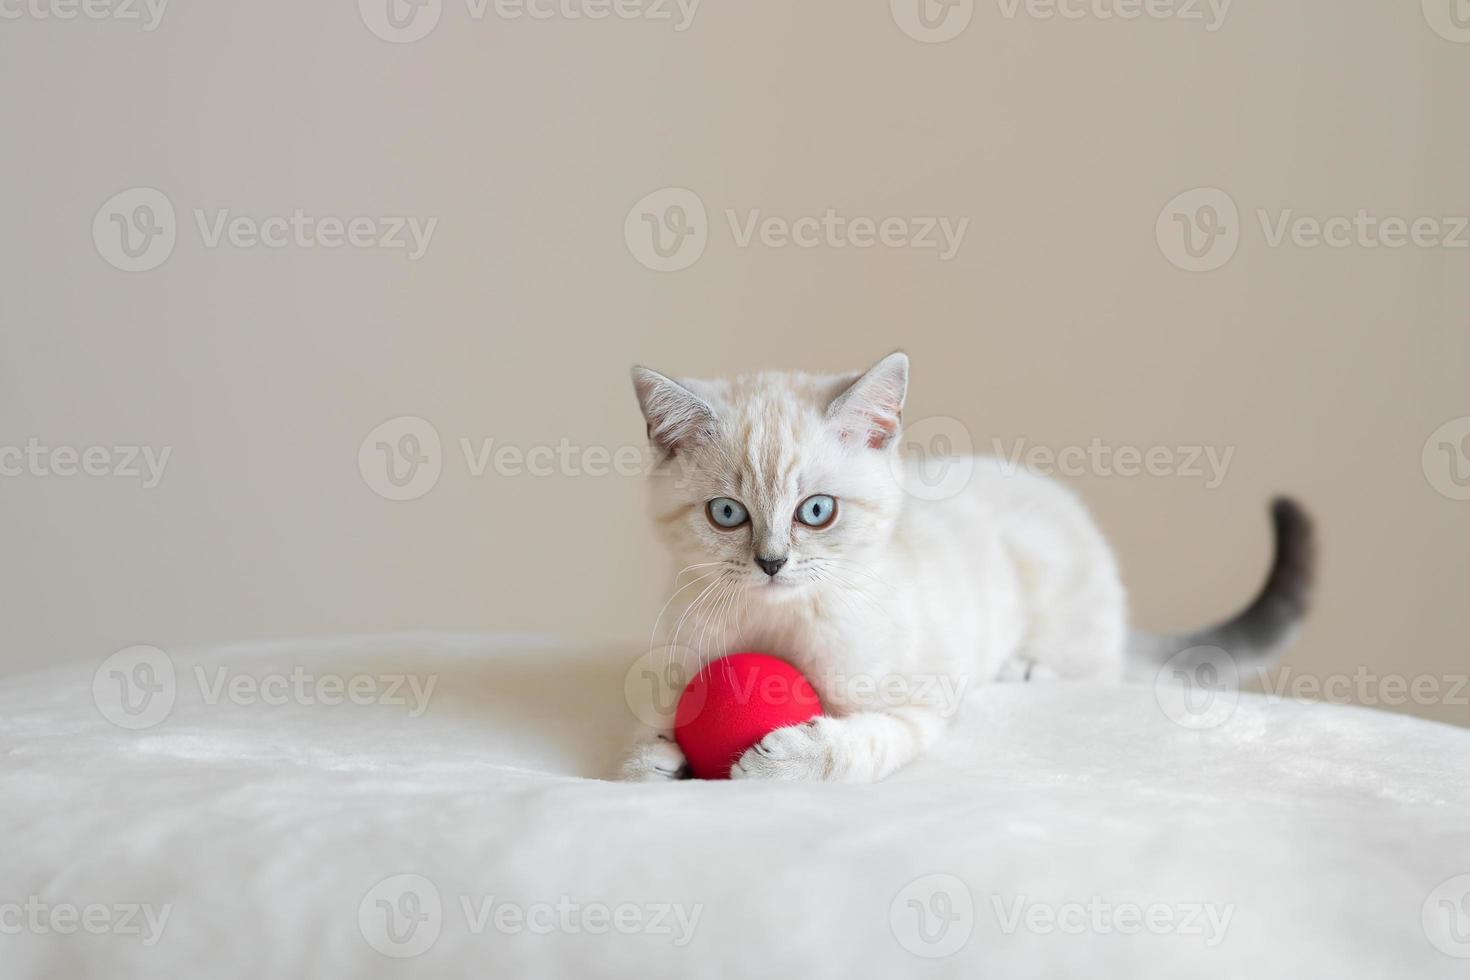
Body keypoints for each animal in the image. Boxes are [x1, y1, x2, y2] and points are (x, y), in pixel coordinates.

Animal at [614, 352, 1317, 781]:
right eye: (727, 514)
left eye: (815, 511)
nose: (771, 563)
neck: (774, 624)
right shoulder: (672, 656)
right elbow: (644, 727)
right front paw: (652, 758)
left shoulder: (922, 701)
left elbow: (862, 742)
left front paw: (784, 758)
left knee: (1099, 669)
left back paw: (1025, 670)